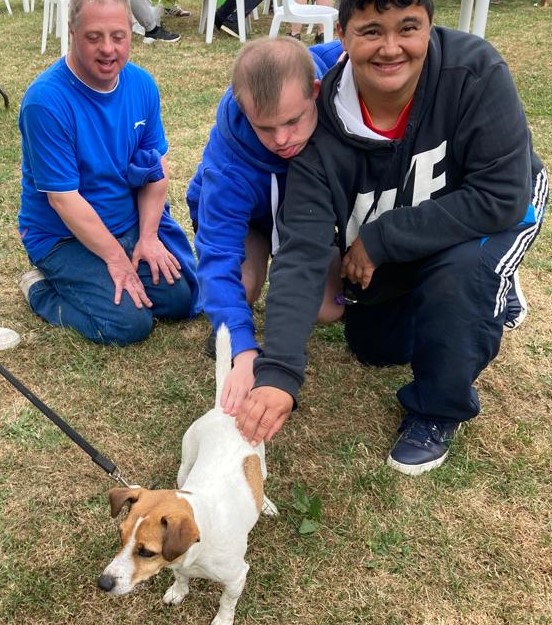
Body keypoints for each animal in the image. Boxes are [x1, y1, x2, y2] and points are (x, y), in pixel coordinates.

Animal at [98, 324, 278, 625]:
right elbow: (181, 577)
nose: (104, 583)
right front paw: (179, 591)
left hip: (259, 463)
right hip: (185, 465)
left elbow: (227, 601)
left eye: (146, 552)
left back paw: (264, 503)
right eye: (120, 536)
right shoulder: (177, 562)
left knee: (261, 482)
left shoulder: (237, 576)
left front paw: (223, 619)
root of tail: (222, 410)